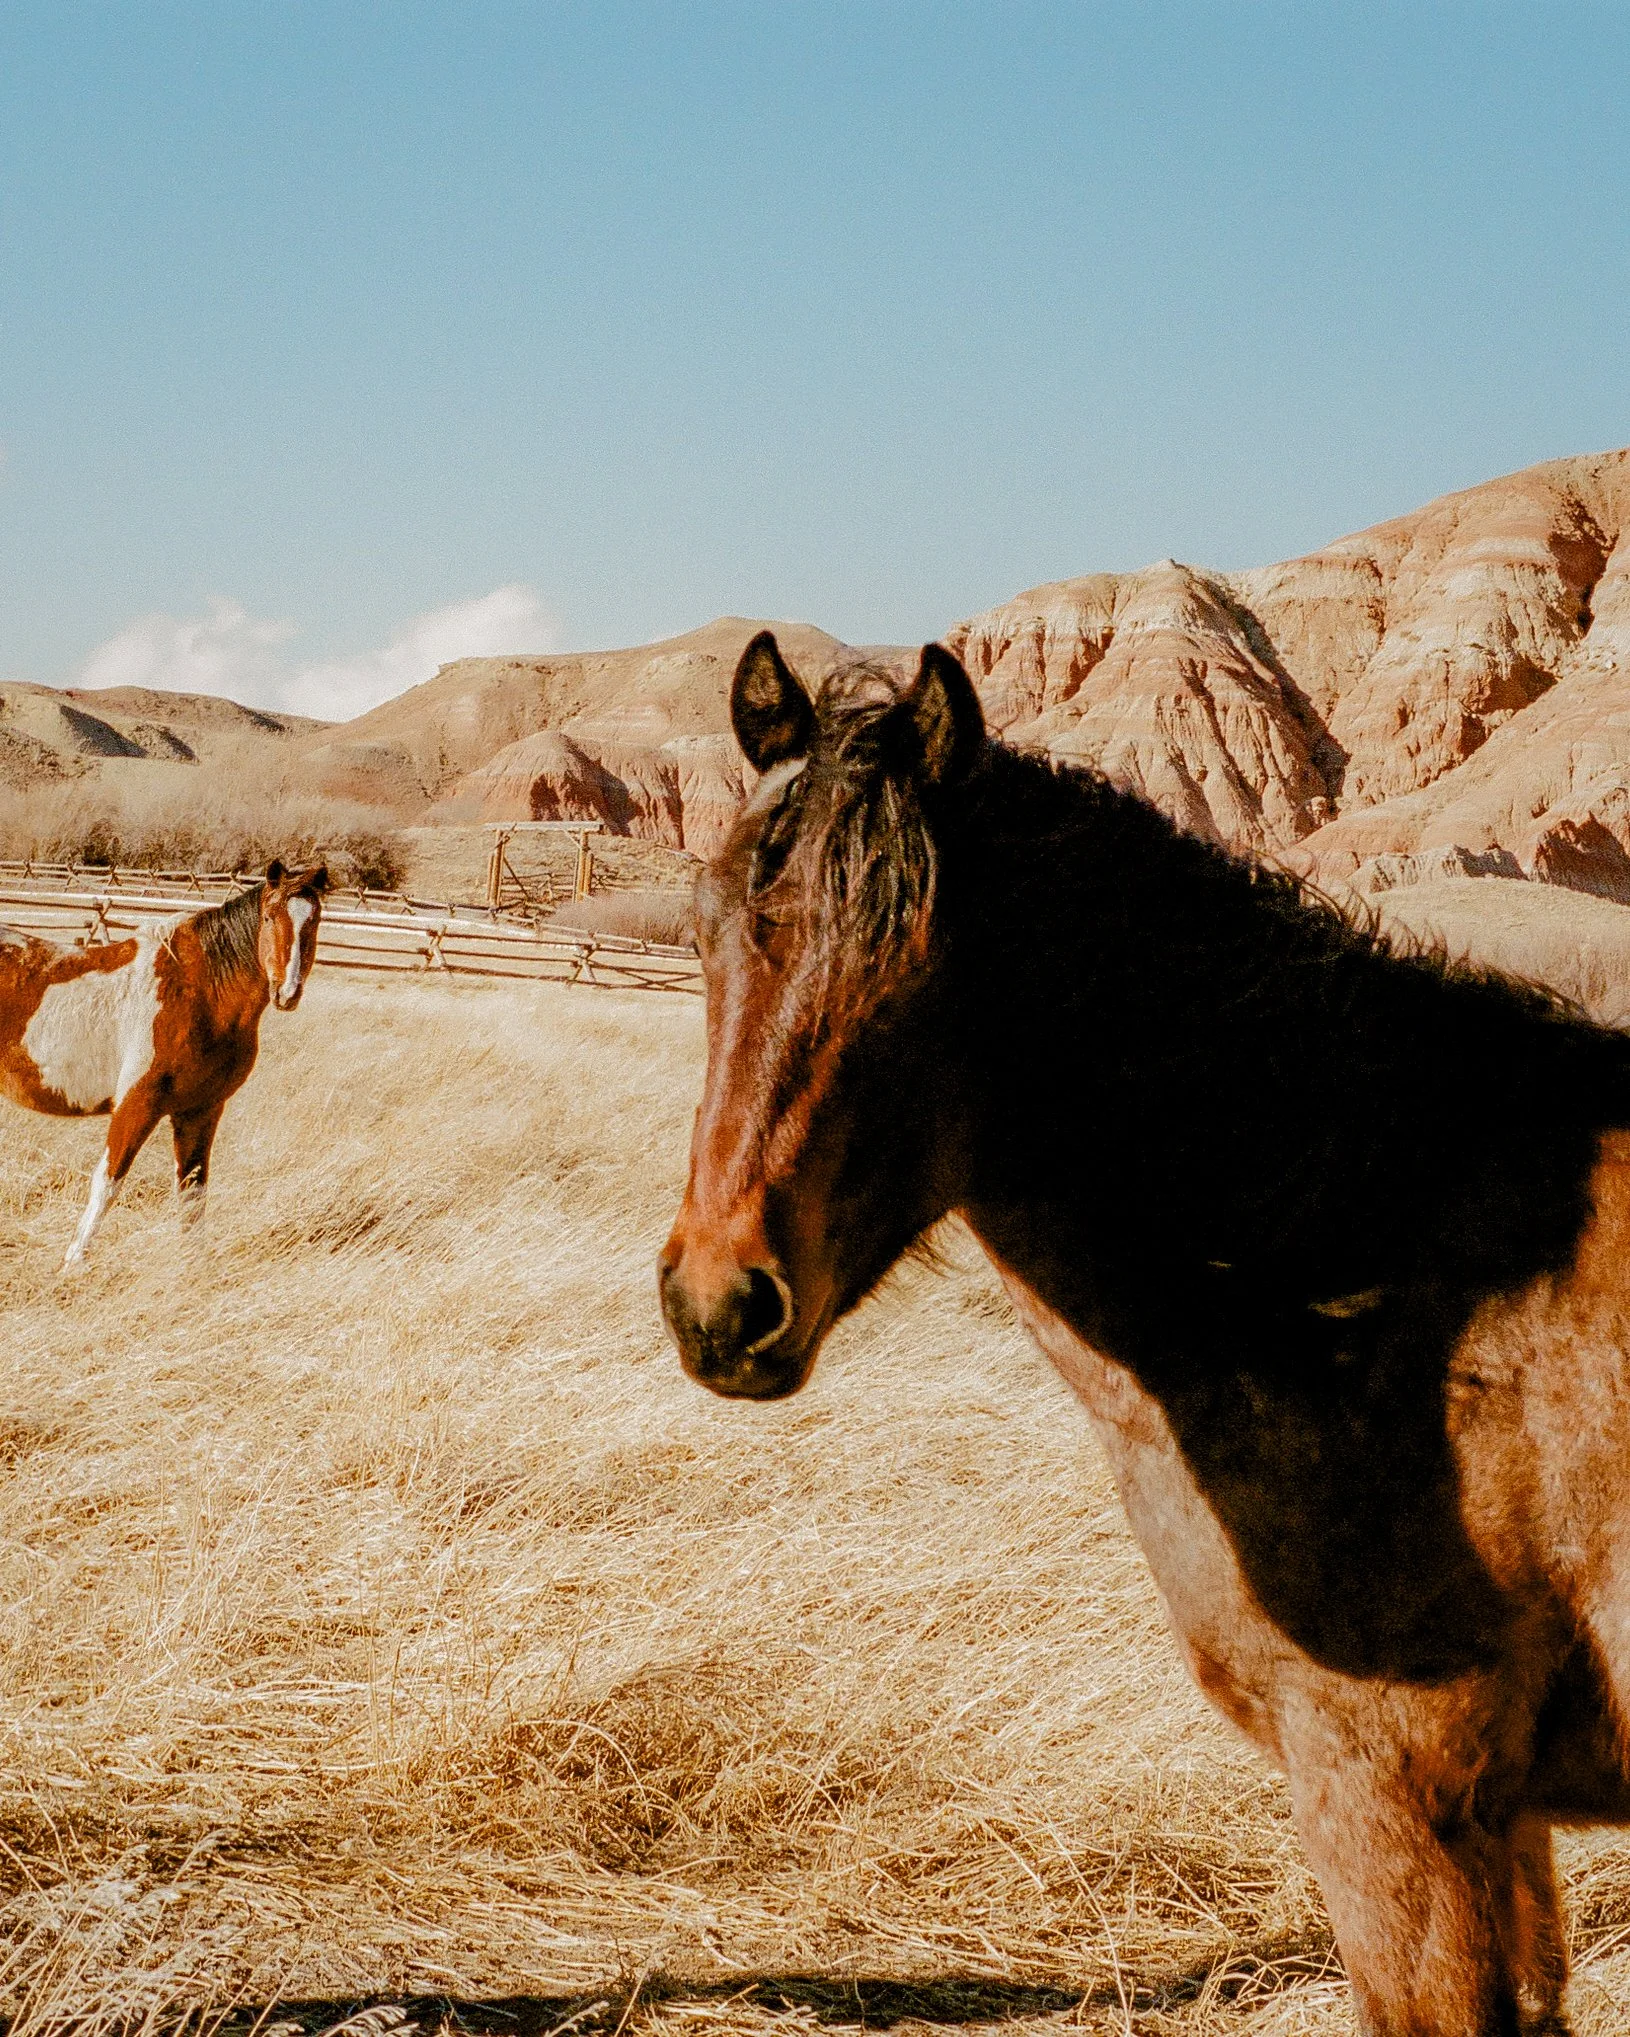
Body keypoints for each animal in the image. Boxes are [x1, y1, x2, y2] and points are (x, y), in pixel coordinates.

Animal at [0, 860, 328, 1267]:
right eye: (268, 917)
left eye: (314, 920)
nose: (287, 992)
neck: (202, 990)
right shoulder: (138, 1104)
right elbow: (108, 1182)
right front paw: (73, 1263)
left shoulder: (200, 1111)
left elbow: (193, 1193)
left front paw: (194, 1266)